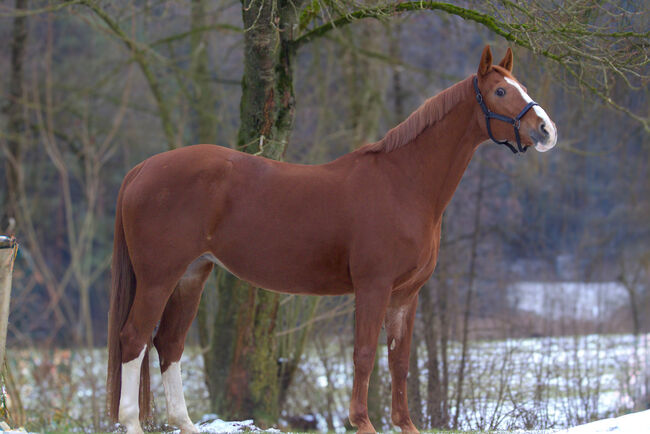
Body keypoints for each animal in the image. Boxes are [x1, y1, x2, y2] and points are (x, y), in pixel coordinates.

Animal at [107, 45, 556, 432]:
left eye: (521, 86)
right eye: (500, 91)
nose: (545, 130)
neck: (403, 183)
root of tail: (142, 169)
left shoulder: (406, 295)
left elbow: (400, 360)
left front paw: (404, 423)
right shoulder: (374, 287)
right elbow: (365, 354)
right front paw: (363, 422)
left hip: (191, 275)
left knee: (169, 343)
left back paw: (184, 423)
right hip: (158, 277)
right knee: (134, 338)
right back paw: (131, 422)